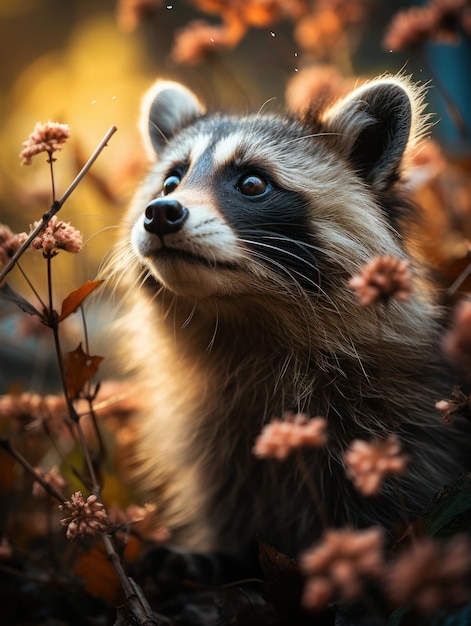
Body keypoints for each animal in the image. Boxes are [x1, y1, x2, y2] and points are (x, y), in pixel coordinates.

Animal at [111, 75, 468, 560]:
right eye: (170, 181)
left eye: (252, 183)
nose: (161, 213)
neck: (241, 320)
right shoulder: (220, 450)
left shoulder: (404, 426)